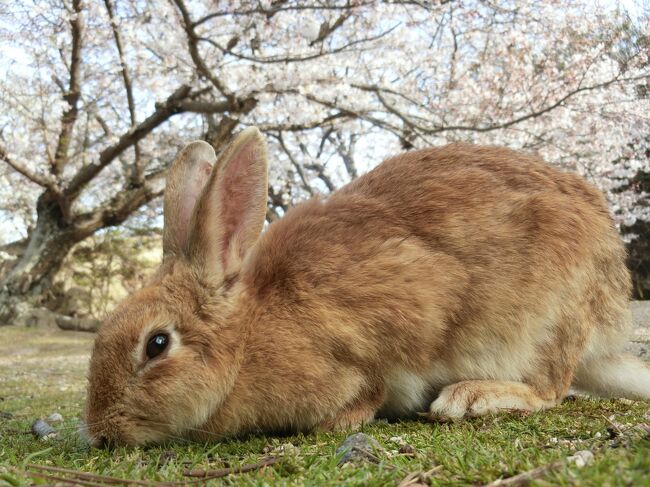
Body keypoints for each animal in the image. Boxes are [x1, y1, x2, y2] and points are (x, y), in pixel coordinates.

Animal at [83, 127, 644, 448]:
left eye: (157, 344)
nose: (102, 433)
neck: (247, 339)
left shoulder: (393, 324)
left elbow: (371, 384)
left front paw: (347, 420)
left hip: (547, 319)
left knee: (550, 390)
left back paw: (471, 396)